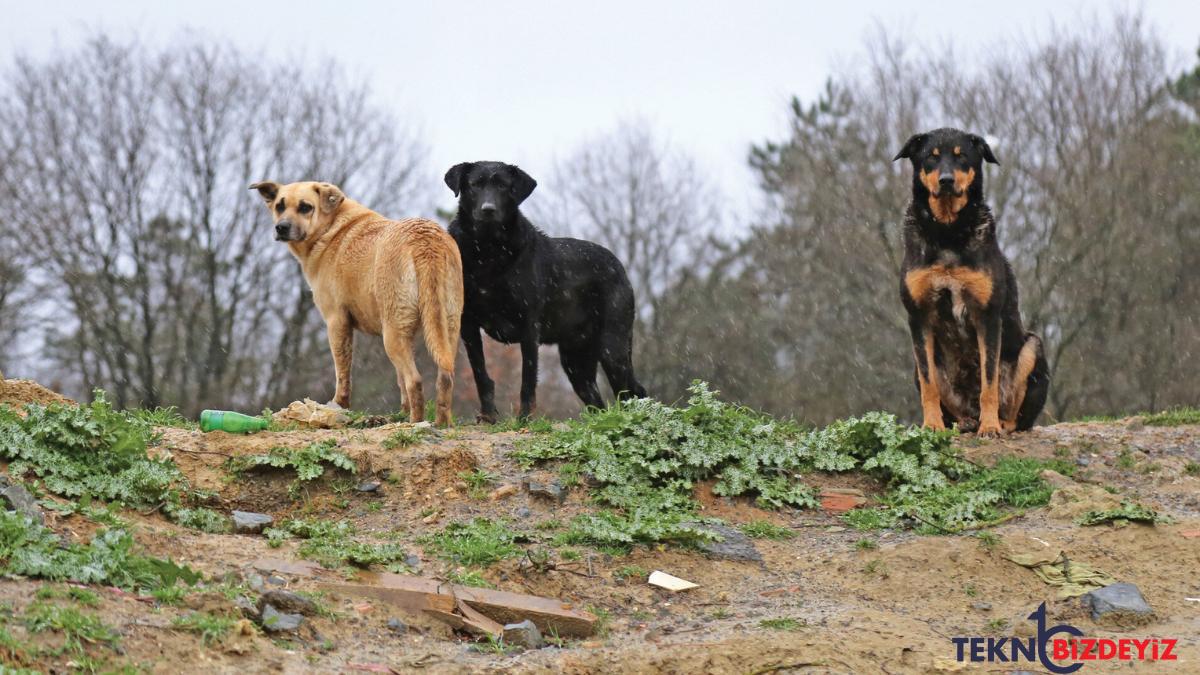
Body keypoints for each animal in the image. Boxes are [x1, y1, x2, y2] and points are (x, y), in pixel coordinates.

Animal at [250, 181, 460, 422]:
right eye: (279, 206)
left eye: (305, 207)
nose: (281, 228)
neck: (330, 228)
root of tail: (424, 240)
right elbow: (399, 381)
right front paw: (401, 412)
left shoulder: (337, 321)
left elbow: (342, 372)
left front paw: (339, 405)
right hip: (445, 329)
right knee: (444, 378)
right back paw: (440, 423)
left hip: (393, 335)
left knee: (414, 380)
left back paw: (415, 422)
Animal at [444, 159, 648, 417]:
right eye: (474, 185)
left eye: (503, 186)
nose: (488, 209)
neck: (488, 250)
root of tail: (618, 265)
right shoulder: (468, 324)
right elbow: (481, 373)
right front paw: (489, 415)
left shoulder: (529, 327)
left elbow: (527, 379)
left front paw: (524, 418)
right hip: (575, 361)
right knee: (597, 403)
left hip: (613, 347)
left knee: (634, 391)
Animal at [892, 126, 1051, 432]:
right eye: (931, 157)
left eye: (961, 156)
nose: (946, 180)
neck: (947, 229)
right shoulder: (919, 317)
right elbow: (929, 384)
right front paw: (932, 425)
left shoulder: (987, 315)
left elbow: (989, 381)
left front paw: (989, 427)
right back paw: (963, 423)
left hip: (1032, 347)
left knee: (1018, 415)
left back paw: (999, 423)